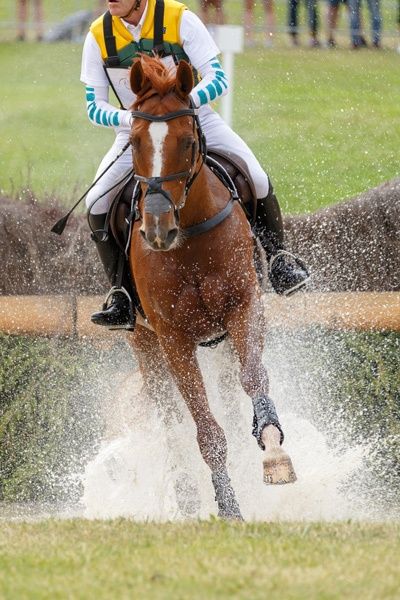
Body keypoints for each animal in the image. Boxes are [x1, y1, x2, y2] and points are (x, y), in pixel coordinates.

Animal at [126, 54, 296, 516]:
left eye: (187, 141)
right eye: (134, 142)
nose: (157, 229)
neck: (189, 238)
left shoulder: (243, 307)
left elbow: (254, 379)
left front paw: (273, 450)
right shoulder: (173, 340)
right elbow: (205, 430)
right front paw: (227, 506)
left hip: (219, 343)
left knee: (233, 400)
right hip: (146, 348)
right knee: (170, 422)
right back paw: (186, 498)